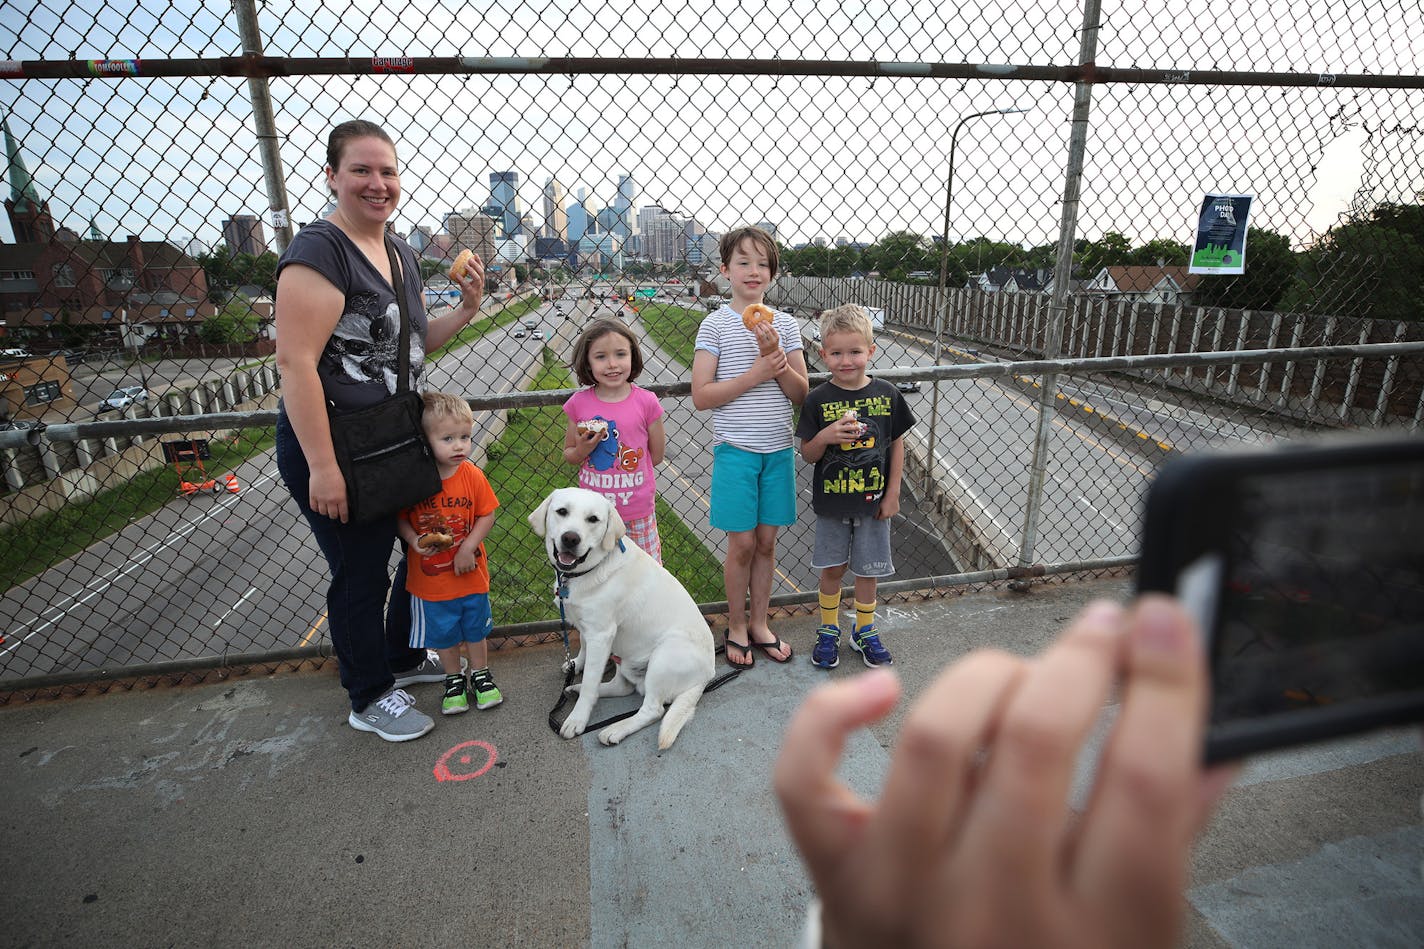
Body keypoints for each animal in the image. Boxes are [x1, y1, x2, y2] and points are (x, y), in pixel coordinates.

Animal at [529, 487, 717, 746]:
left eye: (593, 519)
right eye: (562, 511)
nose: (570, 538)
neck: (587, 571)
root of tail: (707, 675)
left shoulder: (601, 634)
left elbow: (591, 683)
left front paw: (577, 719)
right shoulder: (587, 627)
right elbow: (584, 652)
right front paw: (576, 665)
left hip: (664, 656)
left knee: (653, 709)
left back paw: (615, 729)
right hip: (625, 657)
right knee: (621, 687)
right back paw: (576, 689)